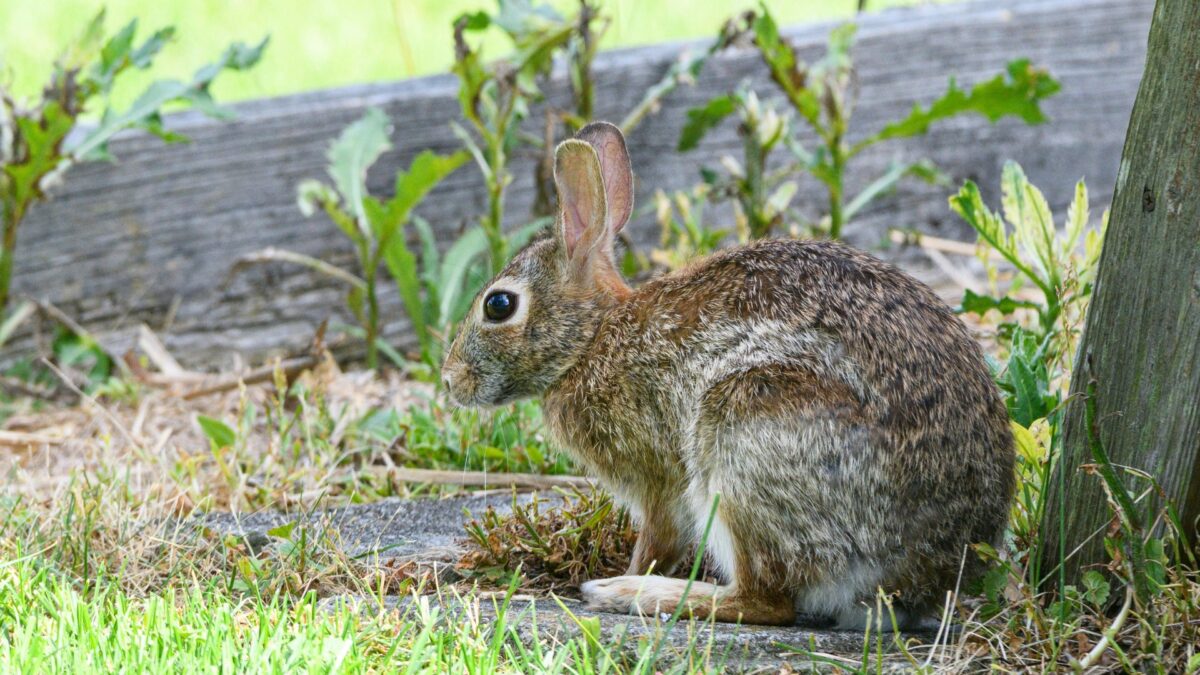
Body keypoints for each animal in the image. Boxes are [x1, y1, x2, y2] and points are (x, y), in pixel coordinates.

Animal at [441, 121, 1014, 629]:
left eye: (498, 305)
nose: (450, 381)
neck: (592, 338)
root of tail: (925, 572)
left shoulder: (658, 477)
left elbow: (659, 536)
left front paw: (624, 574)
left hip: (744, 432)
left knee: (766, 601)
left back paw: (636, 593)